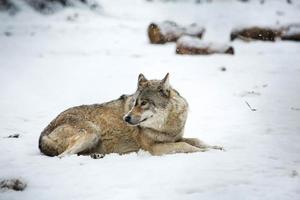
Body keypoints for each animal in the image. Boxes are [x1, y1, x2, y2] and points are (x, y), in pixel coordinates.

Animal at [38, 73, 223, 158]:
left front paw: (216, 147)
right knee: (62, 156)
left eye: (144, 103)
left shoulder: (176, 138)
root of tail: (43, 134)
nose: (126, 118)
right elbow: (187, 146)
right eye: (134, 102)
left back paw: (97, 155)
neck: (168, 125)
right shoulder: (155, 148)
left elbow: (196, 140)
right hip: (91, 132)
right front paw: (206, 151)